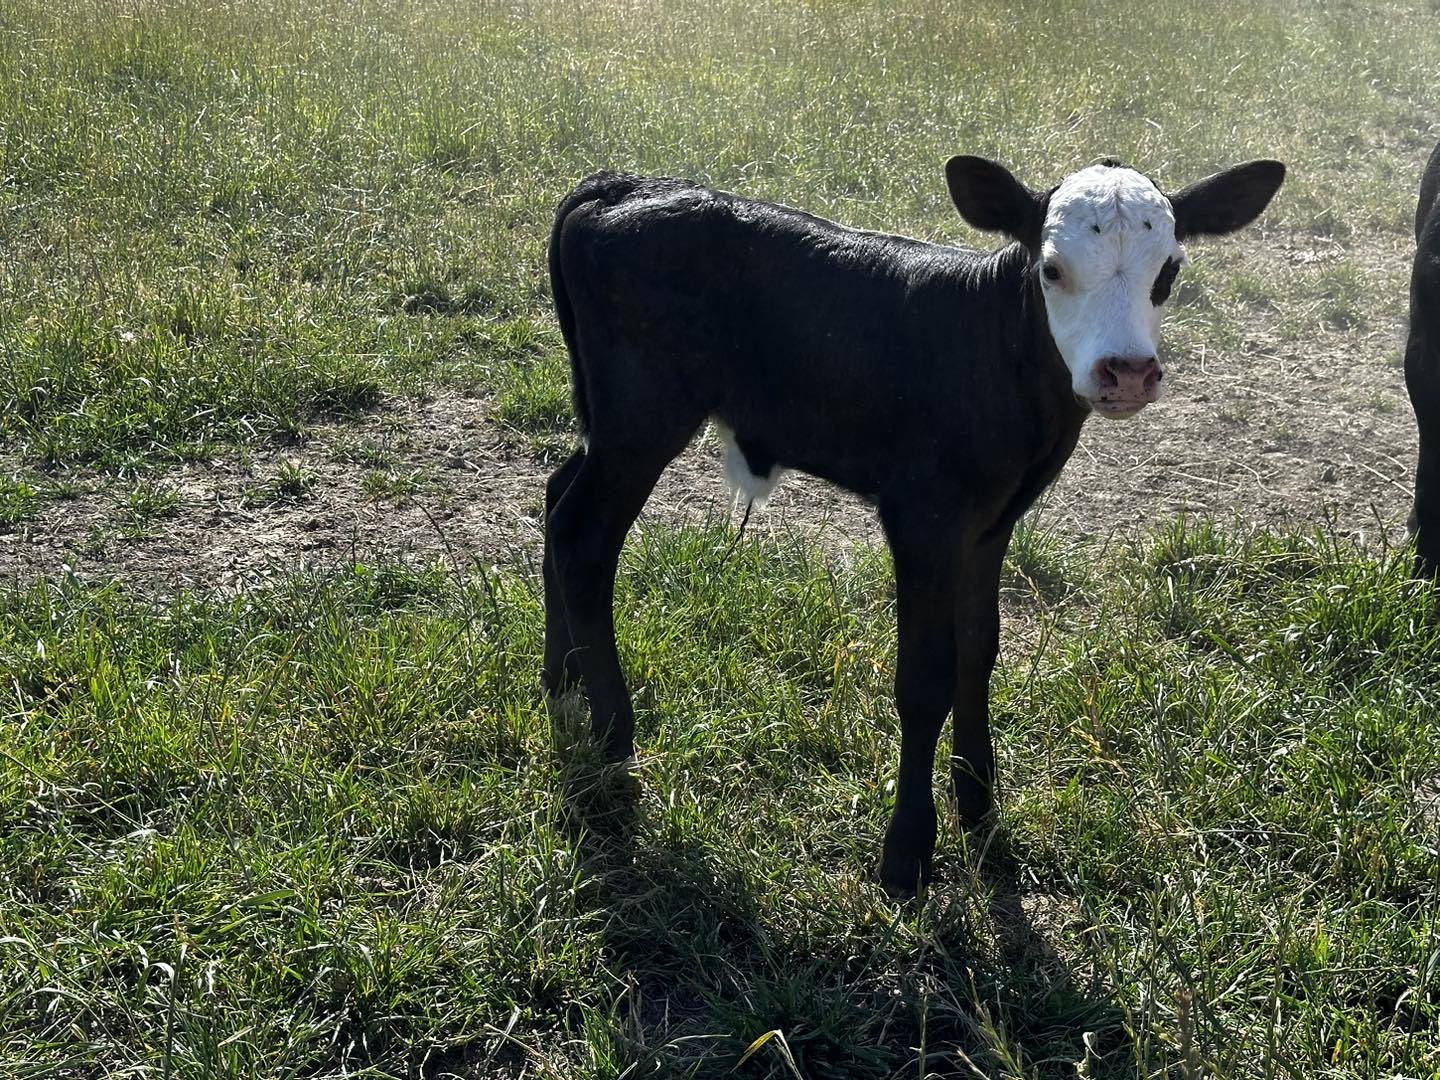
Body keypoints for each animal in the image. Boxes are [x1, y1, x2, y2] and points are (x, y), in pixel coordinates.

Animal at [541, 154, 1285, 893]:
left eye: (1169, 272)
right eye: (1051, 269)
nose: (1127, 373)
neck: (995, 358)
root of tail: (623, 186)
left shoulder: (991, 523)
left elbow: (979, 650)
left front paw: (979, 803)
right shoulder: (922, 517)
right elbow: (926, 676)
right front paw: (907, 851)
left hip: (608, 420)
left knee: (555, 500)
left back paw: (560, 683)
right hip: (642, 417)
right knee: (584, 539)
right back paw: (613, 738)